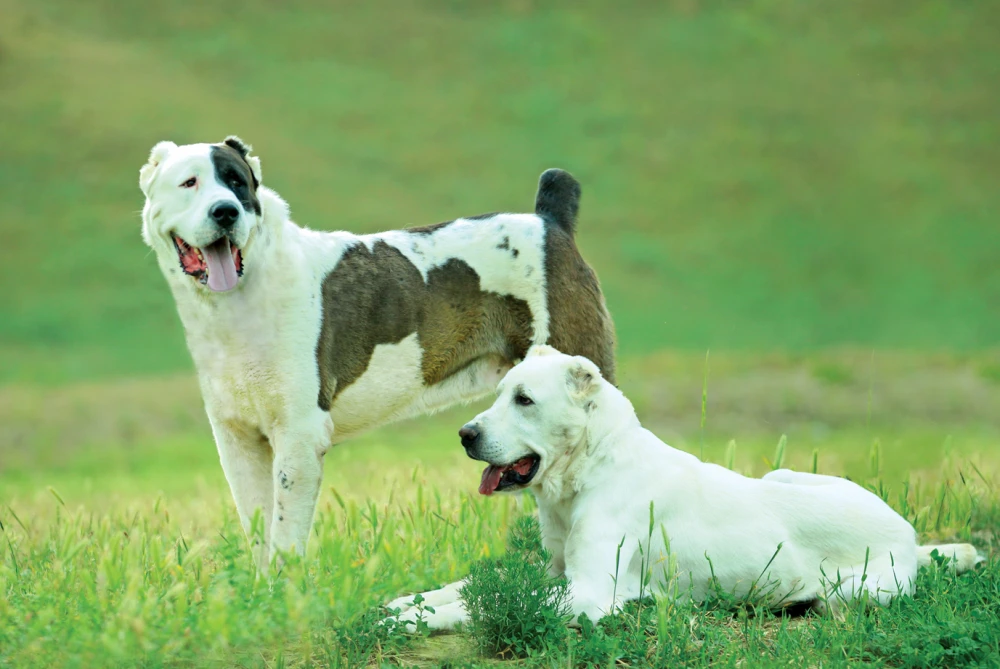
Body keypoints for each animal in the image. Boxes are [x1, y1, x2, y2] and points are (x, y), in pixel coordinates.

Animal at [137, 137, 612, 568]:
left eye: (236, 182)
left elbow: (285, 536)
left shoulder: (299, 434)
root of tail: (549, 221)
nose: (226, 211)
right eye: (190, 183)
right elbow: (259, 528)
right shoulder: (237, 438)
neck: (238, 297)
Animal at [384, 348, 984, 628]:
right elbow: (466, 588)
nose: (465, 434)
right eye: (500, 393)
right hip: (780, 476)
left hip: (854, 592)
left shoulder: (588, 593)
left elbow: (477, 604)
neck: (589, 467)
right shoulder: (553, 572)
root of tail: (909, 536)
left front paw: (413, 621)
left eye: (524, 400)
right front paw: (402, 603)